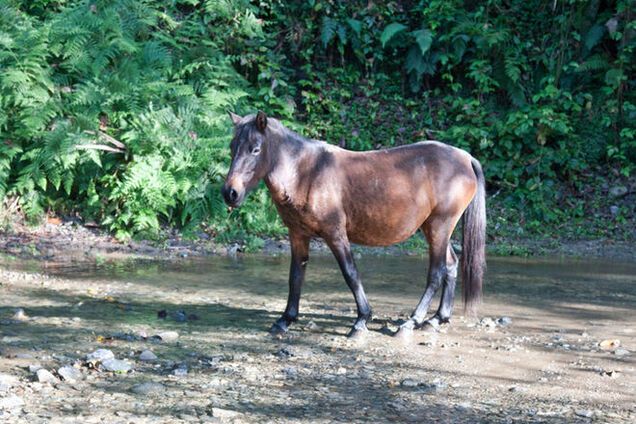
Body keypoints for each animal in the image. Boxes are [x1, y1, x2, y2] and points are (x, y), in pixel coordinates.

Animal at [221, 110, 484, 338]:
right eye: (232, 147)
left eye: (255, 149)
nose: (230, 193)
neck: (307, 173)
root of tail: (465, 158)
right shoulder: (298, 235)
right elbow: (295, 276)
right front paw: (286, 319)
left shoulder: (335, 234)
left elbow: (350, 273)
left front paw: (361, 321)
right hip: (434, 229)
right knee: (451, 265)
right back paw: (437, 318)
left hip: (439, 227)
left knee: (436, 272)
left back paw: (412, 321)